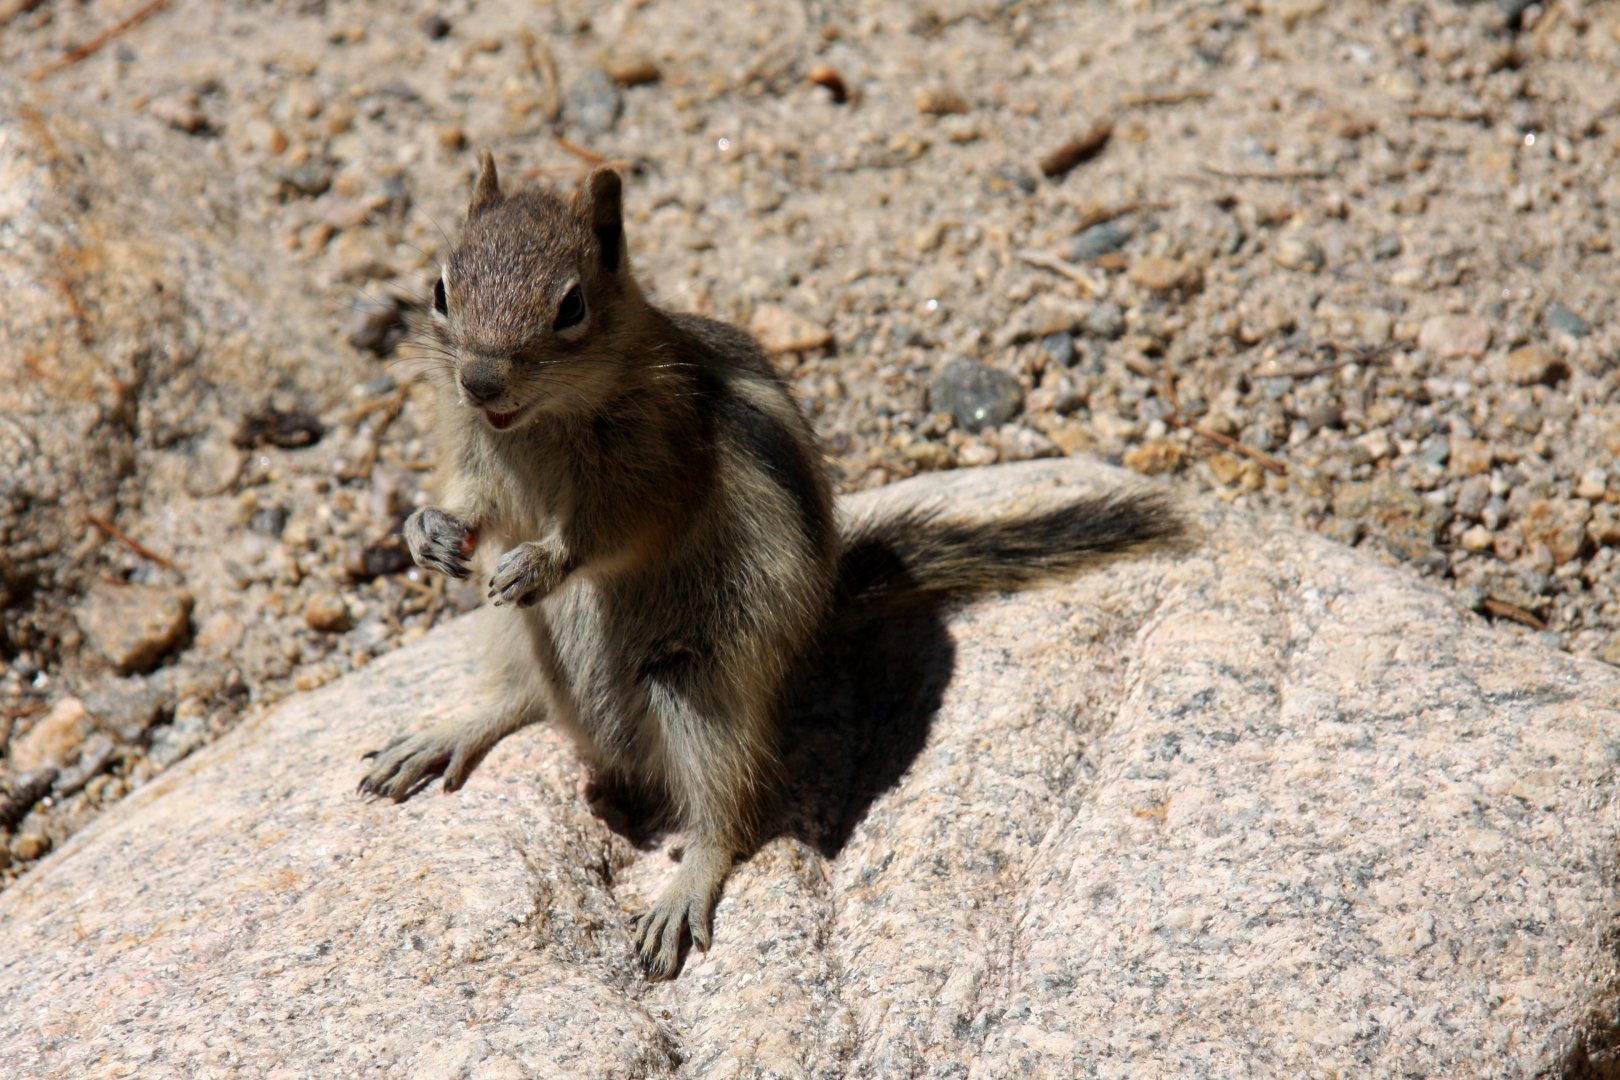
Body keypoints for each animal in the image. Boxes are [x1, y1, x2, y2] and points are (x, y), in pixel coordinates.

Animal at [358, 152, 1182, 980]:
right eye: (440, 290)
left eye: (571, 306)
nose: (480, 382)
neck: (534, 425)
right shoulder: (473, 452)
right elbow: (472, 503)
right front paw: (426, 530)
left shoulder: (659, 460)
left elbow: (615, 529)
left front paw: (545, 558)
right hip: (515, 633)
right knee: (520, 695)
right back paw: (441, 734)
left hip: (696, 680)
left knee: (726, 808)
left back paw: (682, 893)